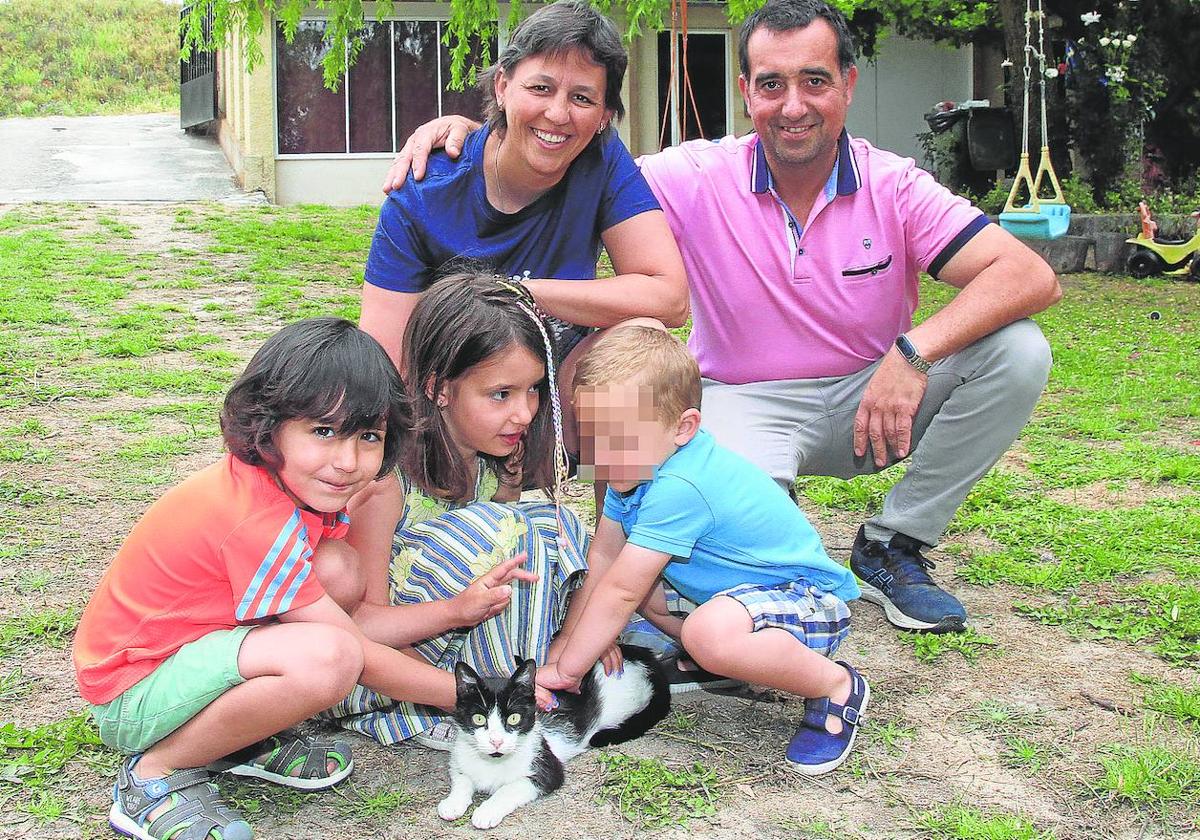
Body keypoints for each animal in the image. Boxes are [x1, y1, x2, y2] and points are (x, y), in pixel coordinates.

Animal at [436, 643, 672, 825]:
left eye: (514, 718)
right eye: (479, 719)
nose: (496, 741)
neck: (493, 762)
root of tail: (643, 654)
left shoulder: (548, 767)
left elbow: (511, 787)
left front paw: (486, 811)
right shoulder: (459, 758)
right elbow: (461, 778)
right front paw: (453, 803)